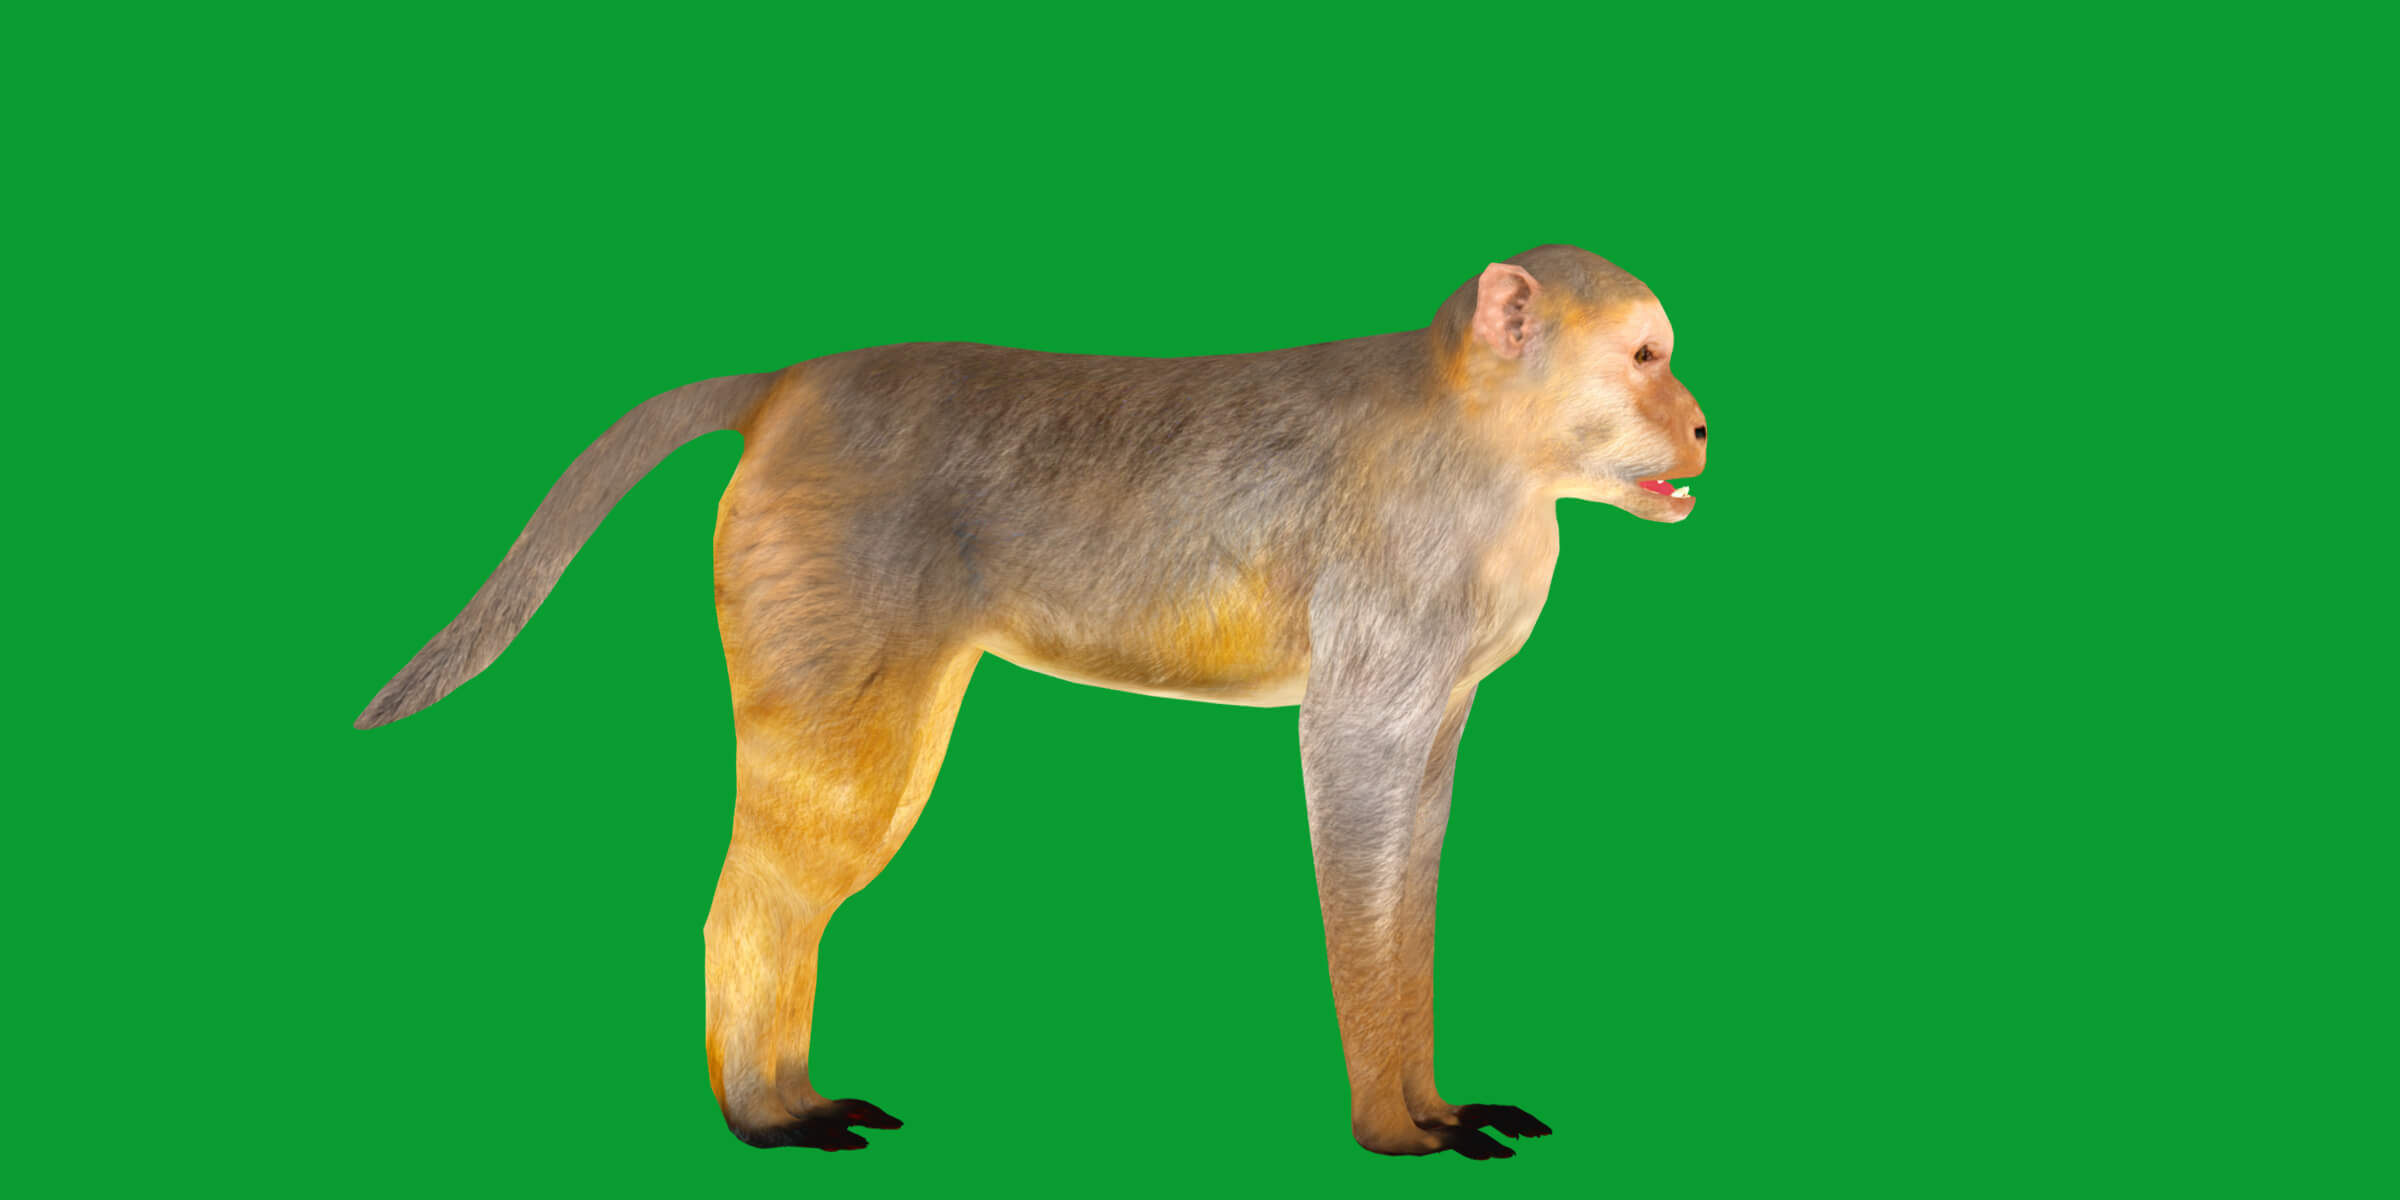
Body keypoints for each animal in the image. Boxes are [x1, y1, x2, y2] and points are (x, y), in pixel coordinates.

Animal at [356, 244, 1708, 1160]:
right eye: (1645, 357)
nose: (1699, 424)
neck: (1489, 445)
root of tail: (793, 383)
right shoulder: (1394, 603)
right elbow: (1353, 782)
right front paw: (1393, 1122)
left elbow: (1416, 844)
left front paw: (1433, 1096)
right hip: (830, 574)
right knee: (796, 852)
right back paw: (762, 1114)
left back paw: (785, 1090)